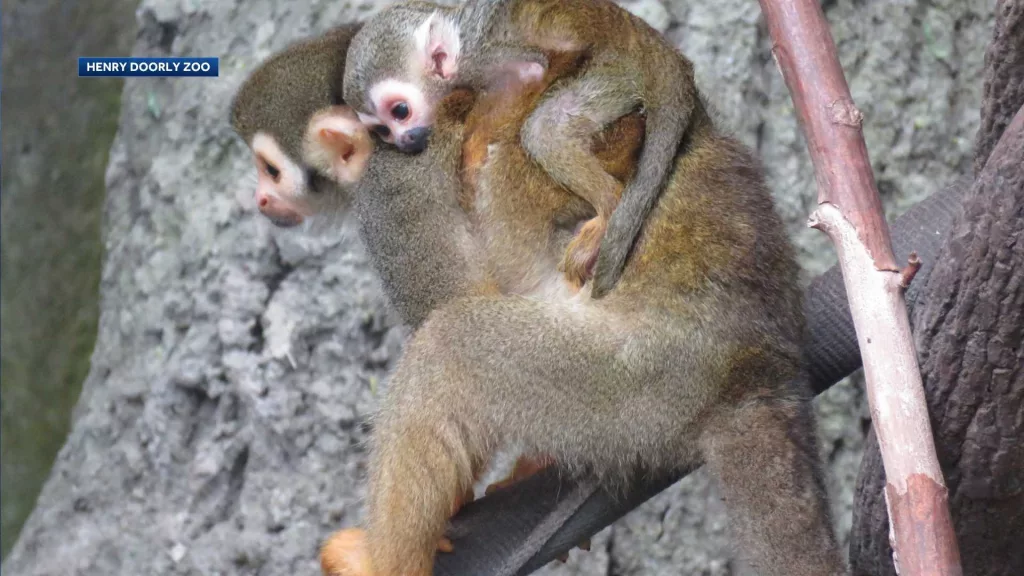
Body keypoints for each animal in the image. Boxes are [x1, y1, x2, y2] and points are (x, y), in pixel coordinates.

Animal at [339, 0, 700, 295]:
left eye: (400, 111)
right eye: (382, 130)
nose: (404, 140)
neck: (462, 40)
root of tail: (649, 41)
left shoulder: (486, 58)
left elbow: (533, 73)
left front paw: (474, 148)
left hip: (615, 75)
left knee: (546, 128)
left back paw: (607, 208)